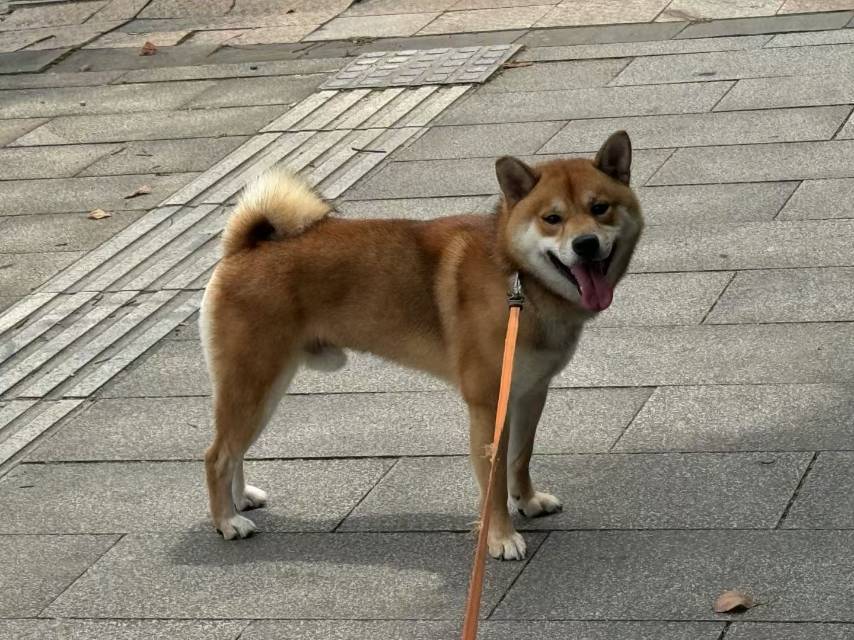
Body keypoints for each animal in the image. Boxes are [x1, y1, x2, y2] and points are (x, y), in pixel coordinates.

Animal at [199, 131, 640, 560]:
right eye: (552, 219)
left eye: (600, 208)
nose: (585, 244)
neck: (516, 279)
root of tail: (245, 247)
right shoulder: (487, 404)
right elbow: (494, 480)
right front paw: (500, 538)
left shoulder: (530, 392)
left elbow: (520, 456)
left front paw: (527, 502)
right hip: (254, 384)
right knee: (218, 455)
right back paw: (227, 521)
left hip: (263, 389)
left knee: (235, 450)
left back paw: (241, 498)